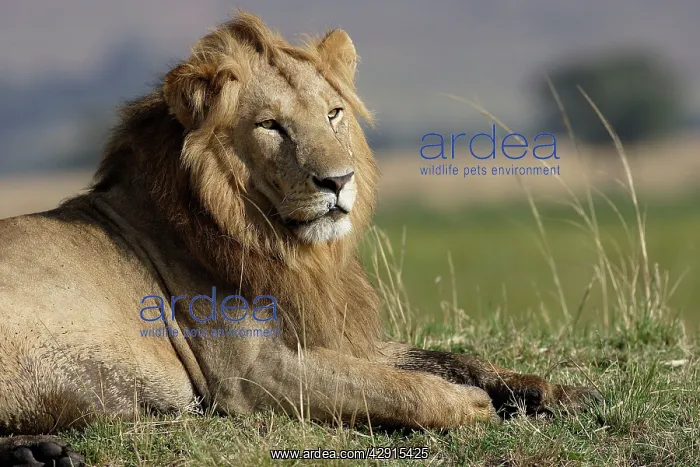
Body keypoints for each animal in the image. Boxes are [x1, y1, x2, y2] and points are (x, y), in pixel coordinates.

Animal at [0, 11, 600, 466]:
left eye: (333, 114)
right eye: (271, 126)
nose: (339, 180)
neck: (289, 248)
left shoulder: (336, 332)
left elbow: (451, 357)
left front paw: (561, 393)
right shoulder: (250, 376)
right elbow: (390, 385)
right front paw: (470, 406)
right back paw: (39, 451)